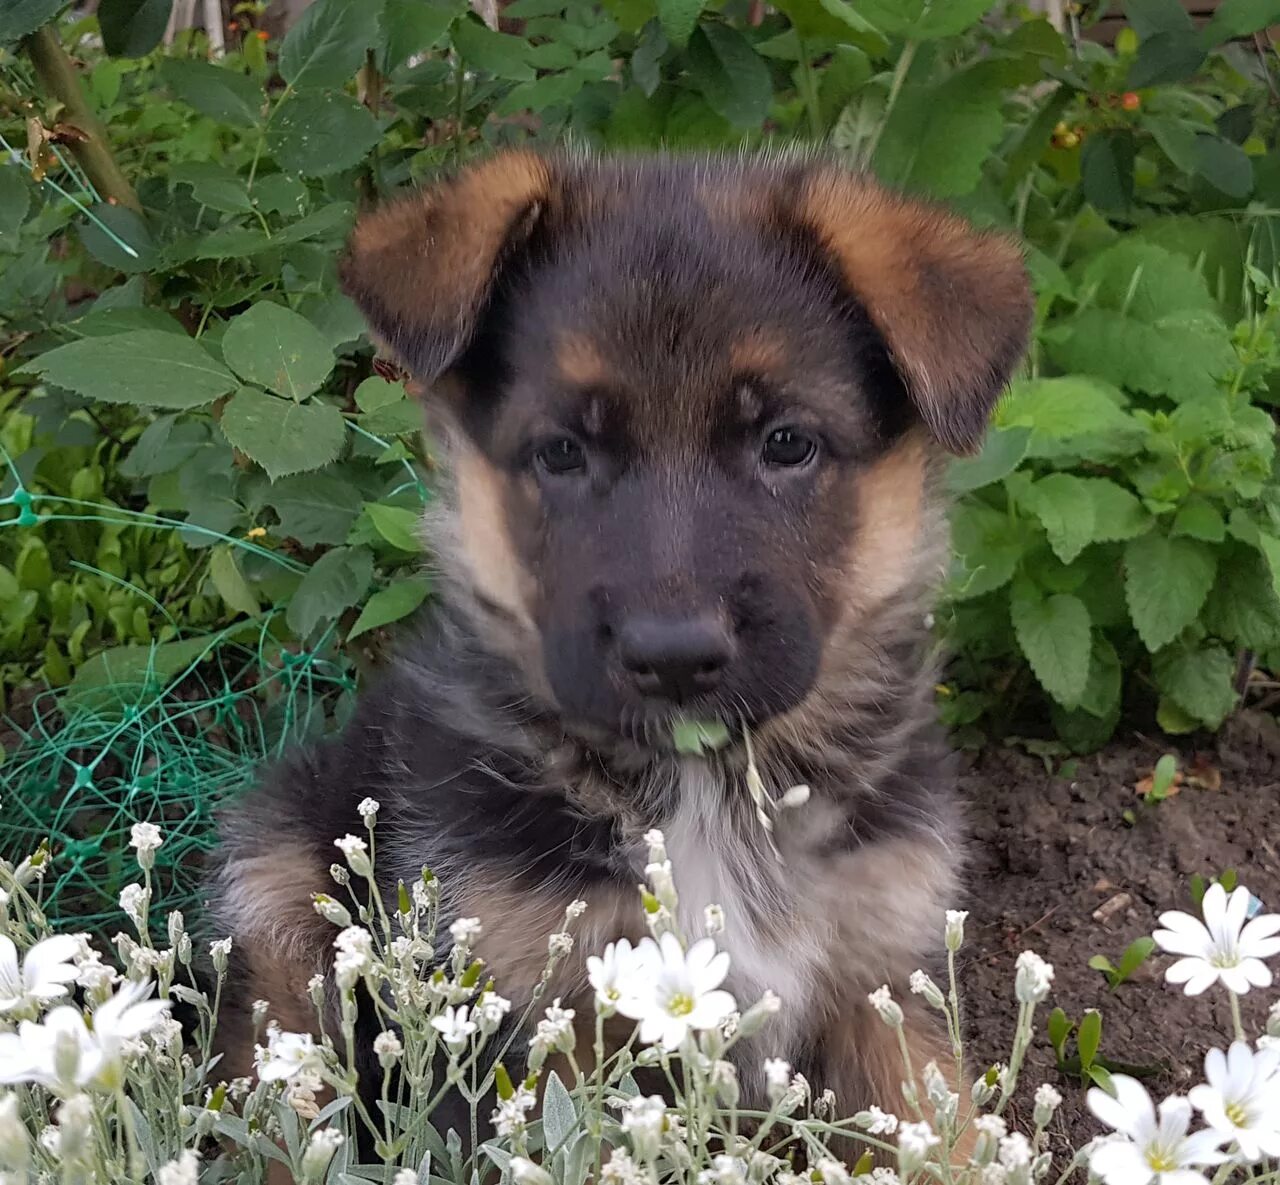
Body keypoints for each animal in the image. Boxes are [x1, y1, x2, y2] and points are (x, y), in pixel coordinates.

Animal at [209, 152, 1029, 1136]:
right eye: (563, 451)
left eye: (787, 443)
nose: (673, 655)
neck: (705, 787)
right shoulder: (537, 1006)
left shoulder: (885, 980)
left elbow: (951, 1139)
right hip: (282, 894)